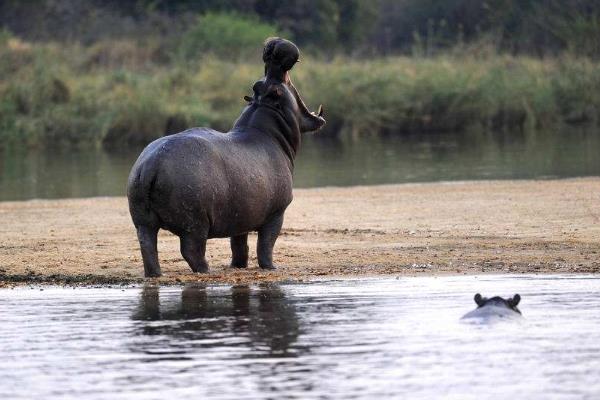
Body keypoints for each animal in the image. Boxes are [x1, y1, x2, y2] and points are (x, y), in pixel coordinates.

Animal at [125, 41, 324, 278]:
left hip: (143, 222)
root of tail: (150, 165)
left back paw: (156, 274)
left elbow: (239, 245)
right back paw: (206, 270)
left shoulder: (241, 215)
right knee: (191, 250)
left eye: (257, 85)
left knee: (147, 246)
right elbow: (266, 244)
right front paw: (273, 267)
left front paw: (238, 266)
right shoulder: (276, 214)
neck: (266, 128)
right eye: (275, 90)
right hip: (194, 222)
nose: (273, 47)